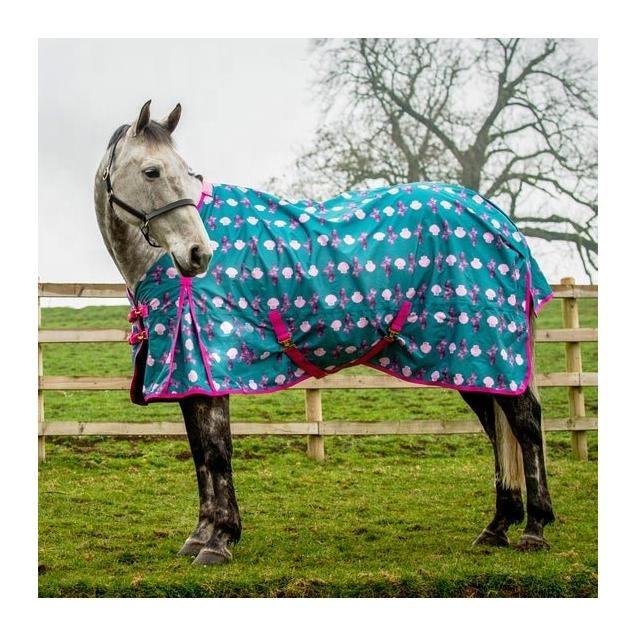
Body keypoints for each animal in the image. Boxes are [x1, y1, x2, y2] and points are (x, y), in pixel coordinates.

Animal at [94, 101, 555, 565]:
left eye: (188, 172)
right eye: (152, 171)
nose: (199, 253)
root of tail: (497, 217)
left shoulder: (207, 366)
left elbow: (217, 452)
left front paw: (220, 540)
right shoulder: (188, 377)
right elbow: (200, 455)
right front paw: (200, 535)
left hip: (487, 351)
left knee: (525, 424)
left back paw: (534, 529)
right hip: (471, 365)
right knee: (499, 429)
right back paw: (496, 527)